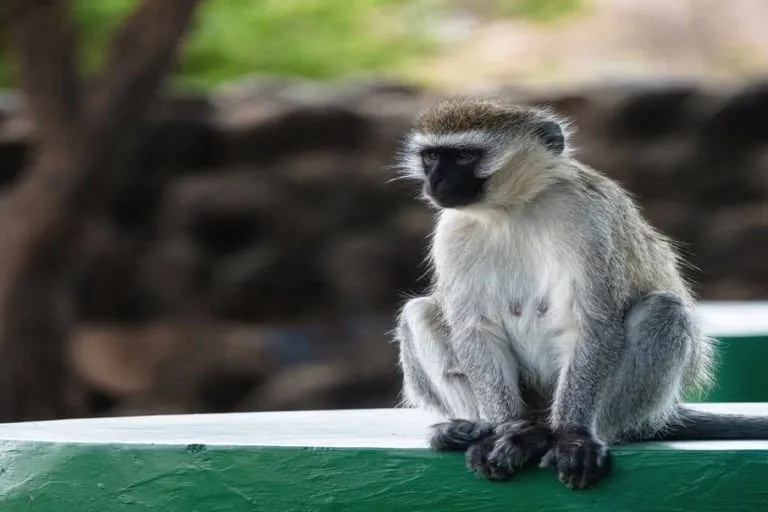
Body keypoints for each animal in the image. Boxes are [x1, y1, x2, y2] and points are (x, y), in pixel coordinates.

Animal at [391, 96, 768, 490]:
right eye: (431, 157)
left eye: (465, 156)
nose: (435, 179)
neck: (513, 208)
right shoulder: (453, 233)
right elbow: (474, 329)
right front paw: (506, 430)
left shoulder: (585, 218)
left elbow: (592, 323)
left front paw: (573, 437)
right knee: (419, 312)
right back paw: (473, 430)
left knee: (663, 310)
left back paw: (558, 434)